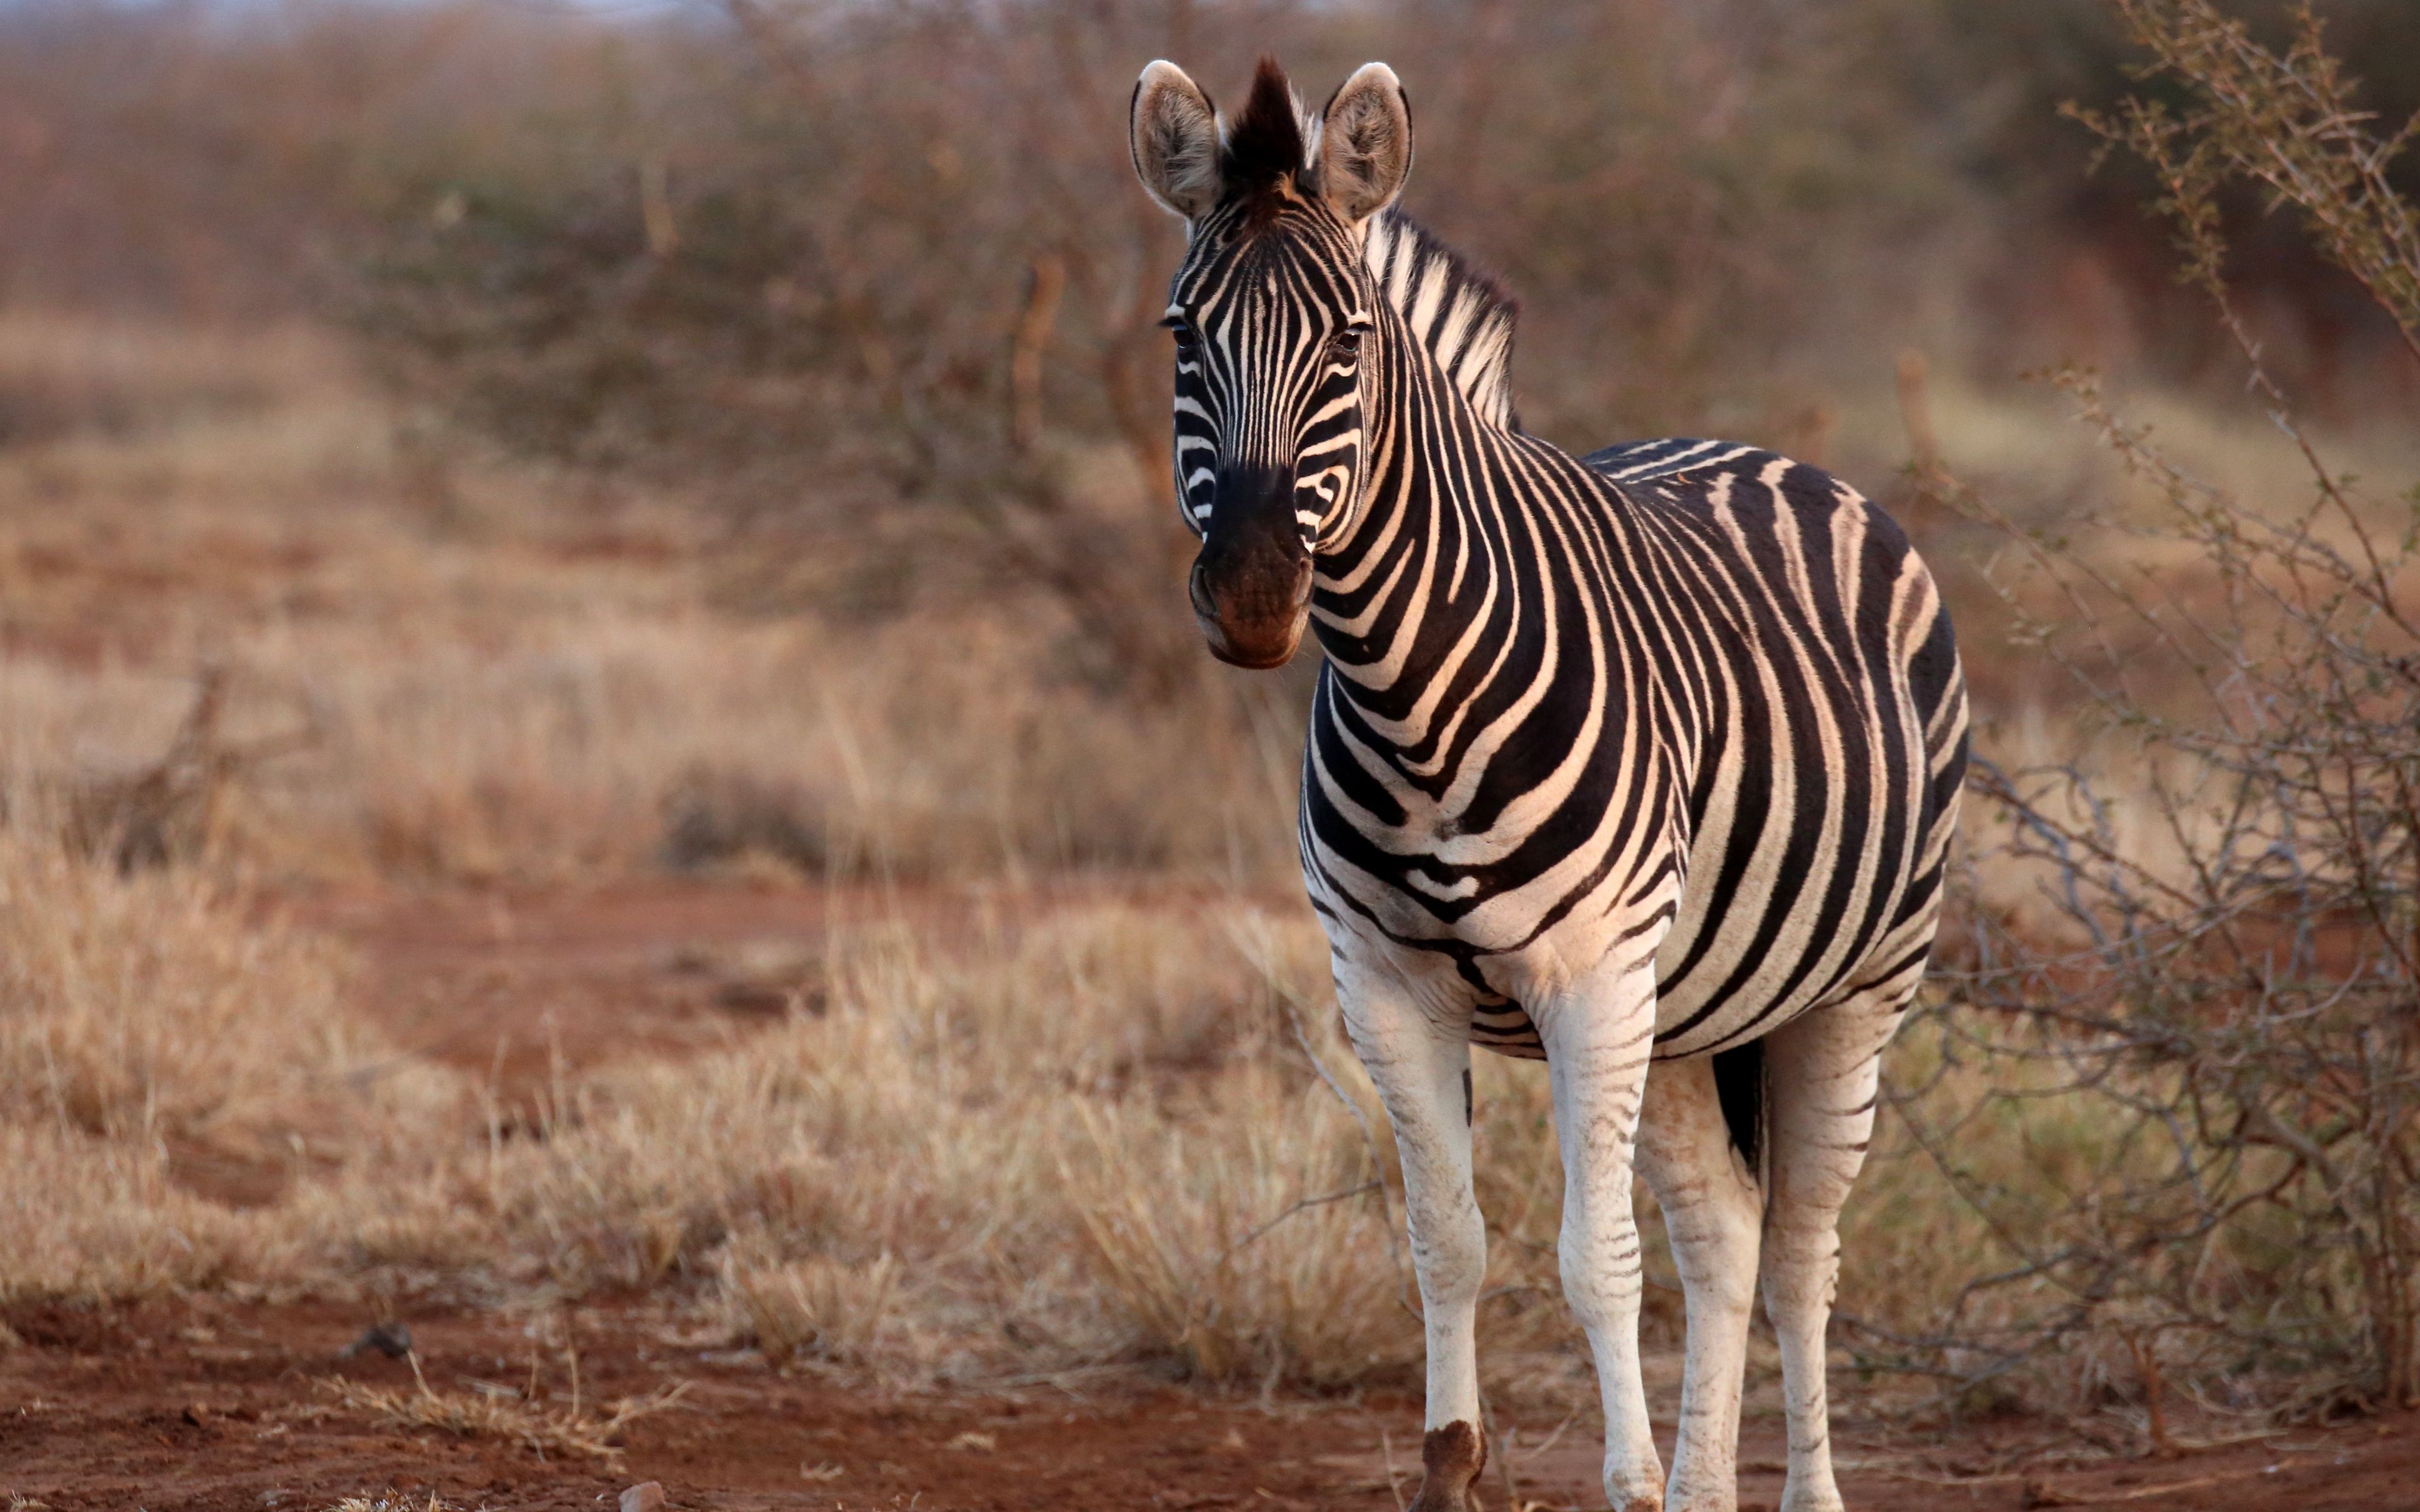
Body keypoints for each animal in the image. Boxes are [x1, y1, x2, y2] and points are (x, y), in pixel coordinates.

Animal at [1129, 56, 1966, 1512]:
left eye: (1350, 341)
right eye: (1185, 337)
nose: (1251, 596)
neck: (1413, 694)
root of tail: (1767, 453)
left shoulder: (1589, 980)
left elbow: (1596, 1263)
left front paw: (1628, 1484)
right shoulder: (1384, 988)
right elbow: (1446, 1241)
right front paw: (1454, 1472)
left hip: (1858, 984)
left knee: (1803, 1250)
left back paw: (1791, 1489)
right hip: (1688, 1007)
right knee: (1727, 1236)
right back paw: (1705, 1490)